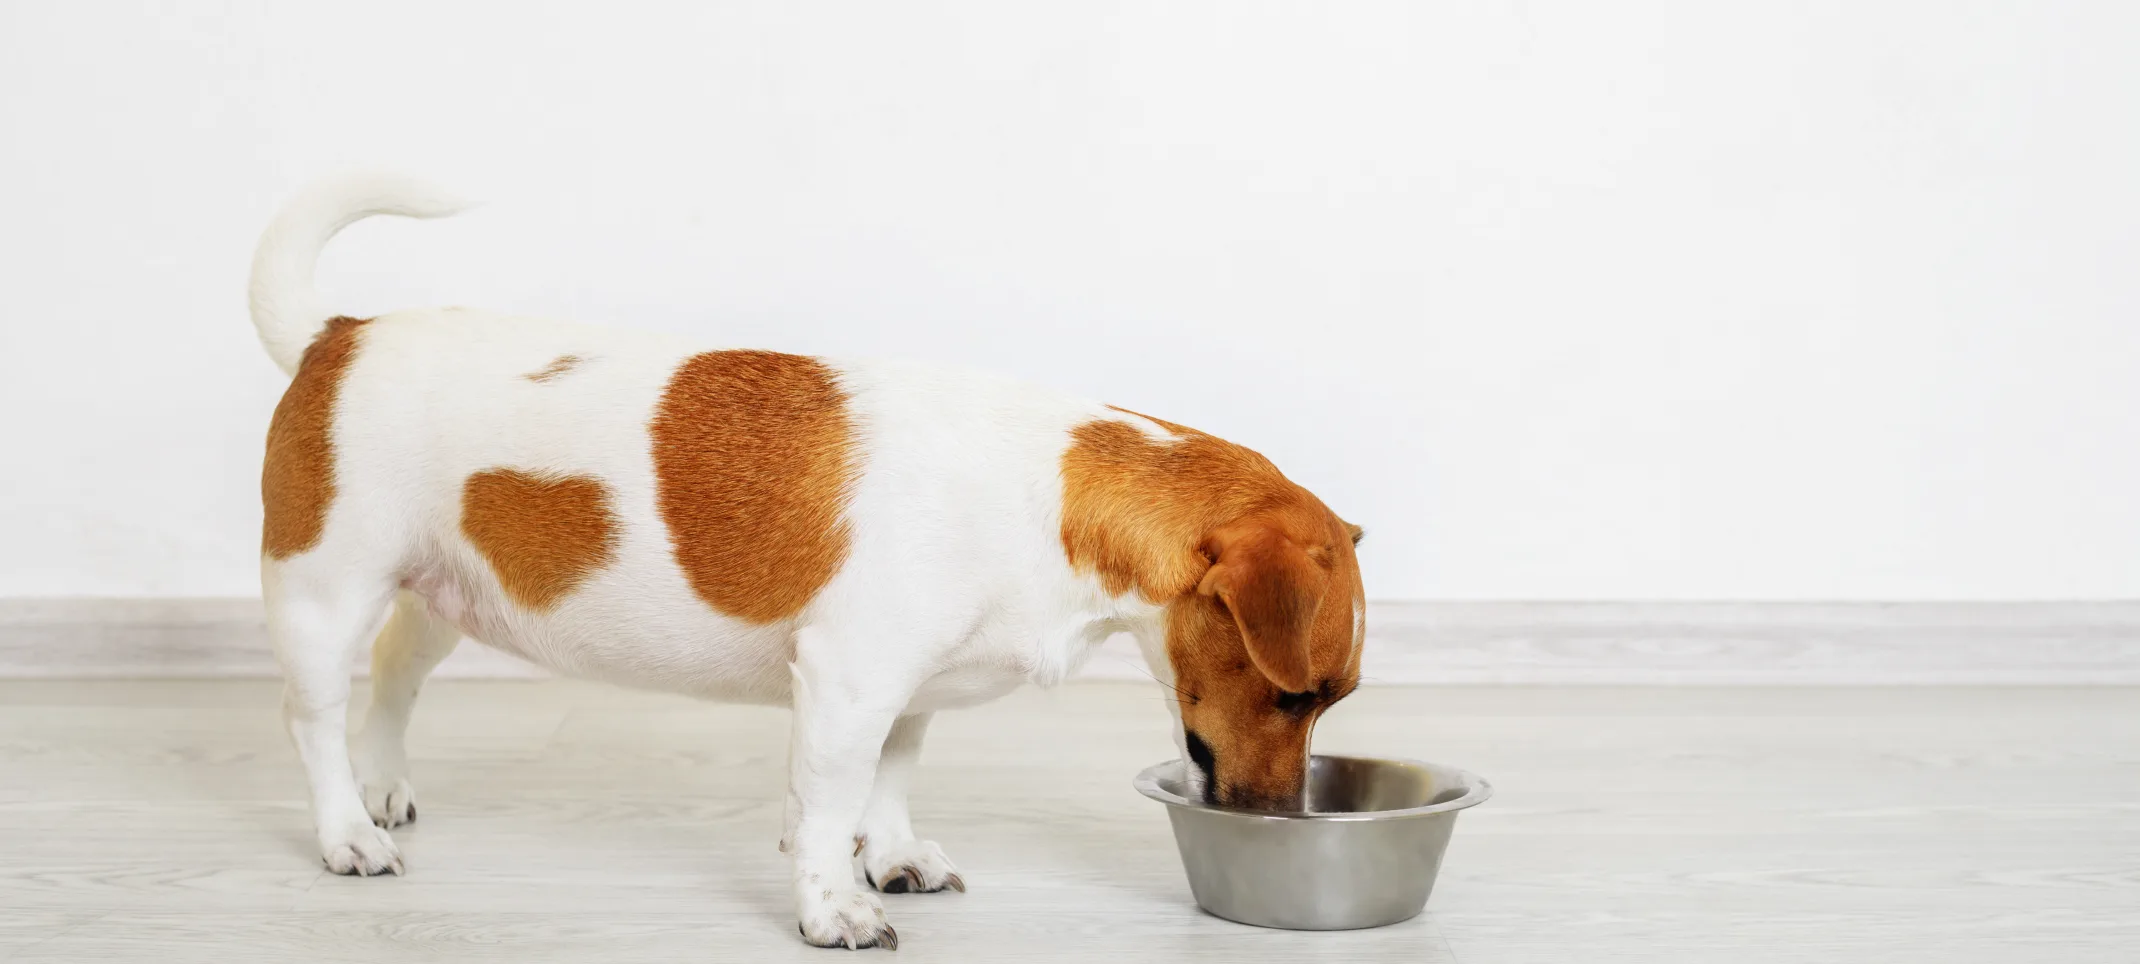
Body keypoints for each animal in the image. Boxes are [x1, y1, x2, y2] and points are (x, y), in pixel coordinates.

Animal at [242, 173, 1361, 946]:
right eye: (1294, 695)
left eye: (1322, 702)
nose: (1277, 819)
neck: (1050, 497)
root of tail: (337, 336)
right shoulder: (846, 684)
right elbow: (827, 809)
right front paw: (833, 908)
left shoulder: (909, 695)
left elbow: (889, 784)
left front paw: (893, 855)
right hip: (324, 595)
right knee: (314, 722)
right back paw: (348, 831)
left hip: (445, 593)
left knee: (393, 677)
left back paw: (384, 786)